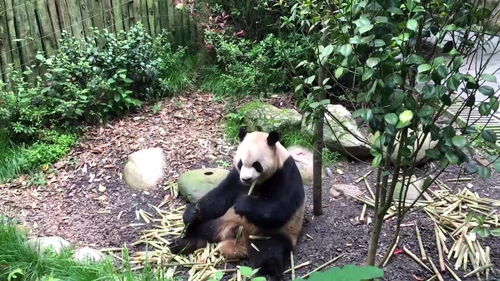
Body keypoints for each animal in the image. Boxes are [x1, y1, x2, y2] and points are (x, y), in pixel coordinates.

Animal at [171, 128, 304, 278]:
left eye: (257, 165)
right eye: (241, 163)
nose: (246, 179)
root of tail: (239, 240)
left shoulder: (286, 173)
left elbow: (280, 207)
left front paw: (243, 204)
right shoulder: (235, 176)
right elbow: (220, 196)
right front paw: (191, 212)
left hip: (271, 232)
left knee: (269, 251)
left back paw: (267, 274)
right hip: (223, 220)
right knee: (202, 227)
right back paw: (182, 243)